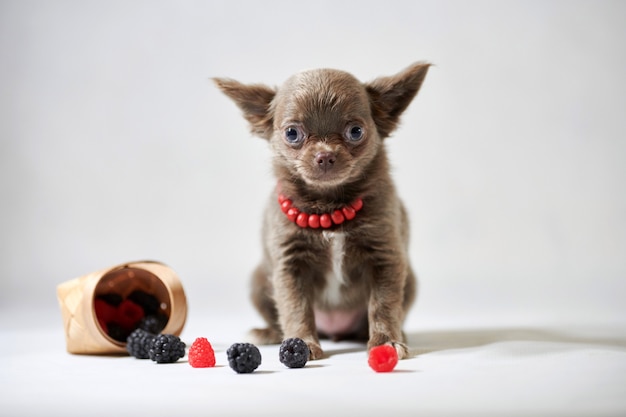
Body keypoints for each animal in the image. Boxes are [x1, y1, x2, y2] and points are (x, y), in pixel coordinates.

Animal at [214, 62, 428, 360]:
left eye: (355, 131)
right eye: (292, 133)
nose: (325, 155)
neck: (327, 205)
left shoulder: (385, 258)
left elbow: (383, 305)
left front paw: (385, 342)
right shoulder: (290, 265)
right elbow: (296, 308)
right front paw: (302, 344)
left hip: (411, 283)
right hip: (258, 282)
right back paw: (267, 333)